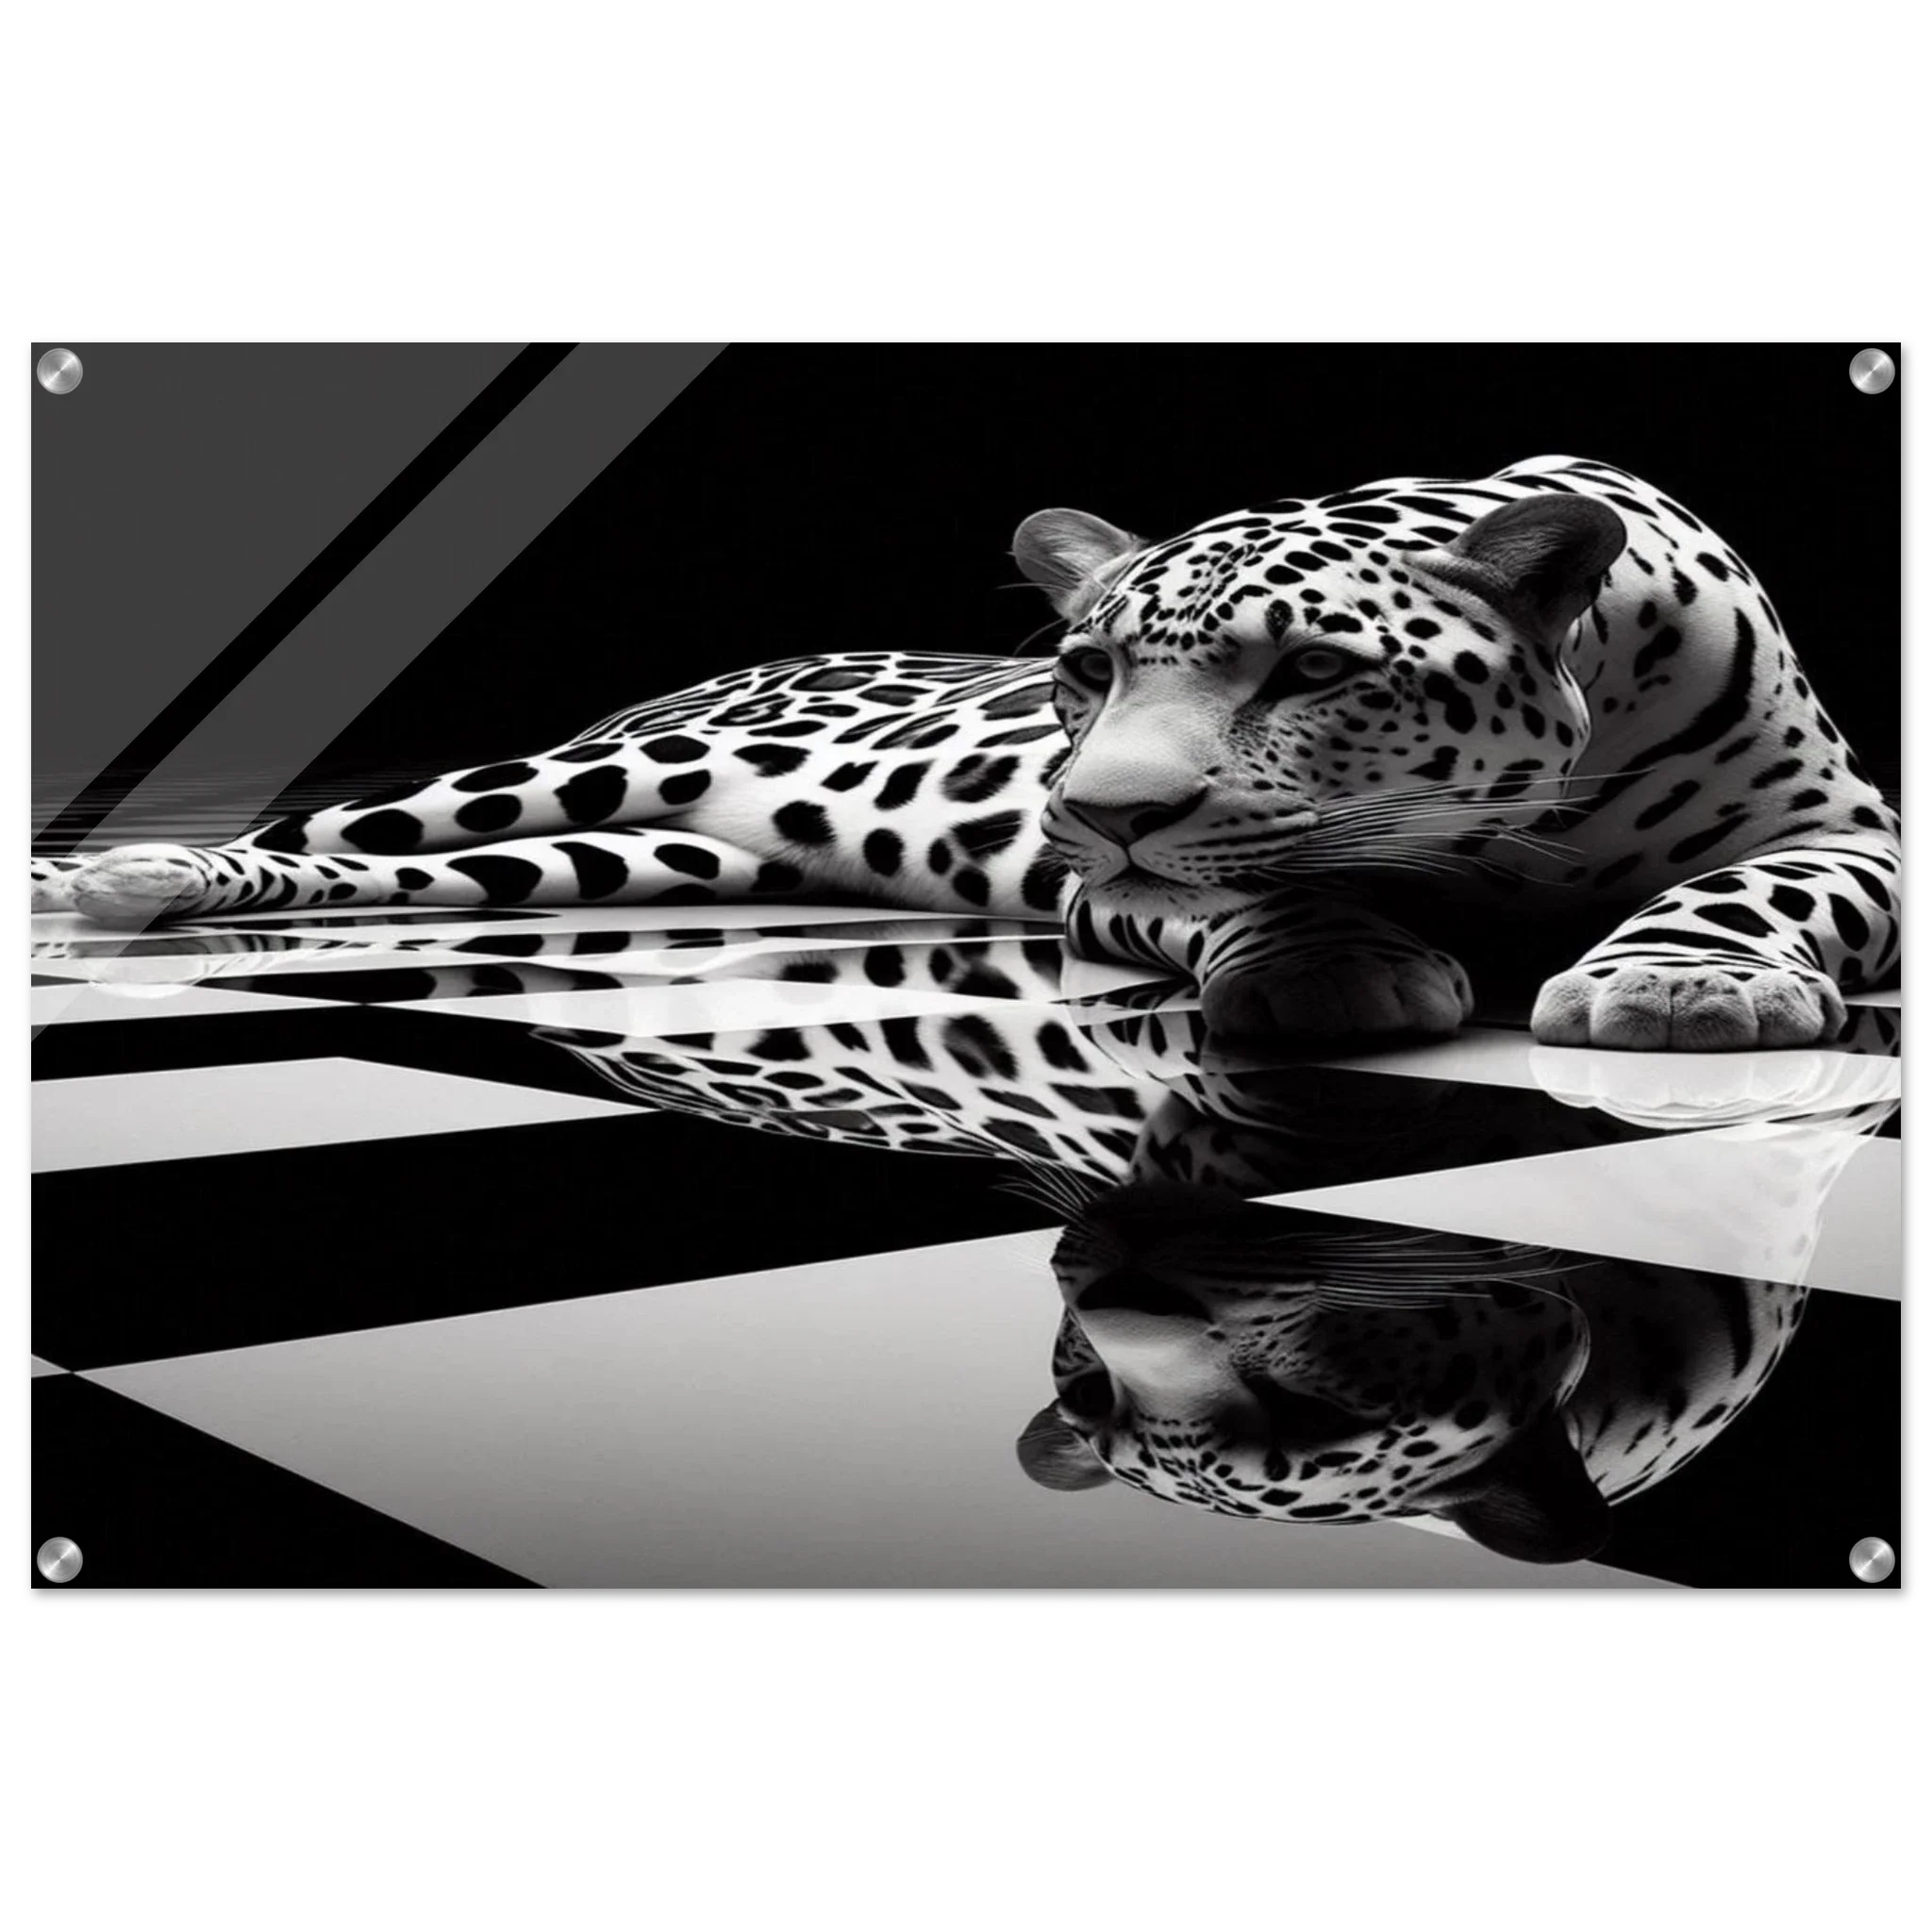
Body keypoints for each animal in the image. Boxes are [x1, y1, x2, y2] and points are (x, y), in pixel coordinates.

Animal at [32, 455, 1902, 1052]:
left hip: (634, 855)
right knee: (336, 827)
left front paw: (1675, 984)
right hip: (563, 783)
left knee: (420, 873)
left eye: (1311, 668)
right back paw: (119, 880)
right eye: (1082, 670)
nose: (1095, 807)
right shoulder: (1106, 897)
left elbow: (1751, 887)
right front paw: (1333, 965)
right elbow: (1249, 891)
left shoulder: (1847, 827)